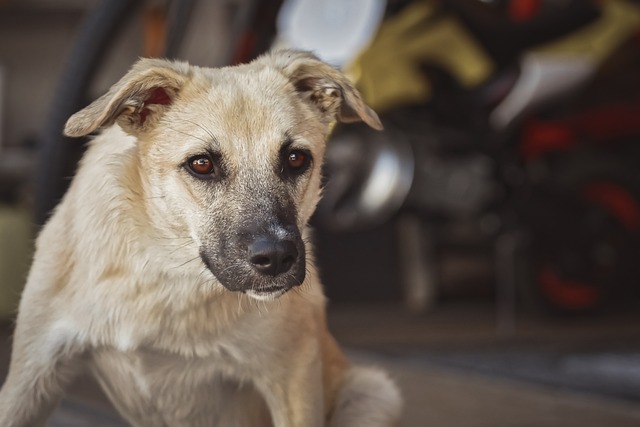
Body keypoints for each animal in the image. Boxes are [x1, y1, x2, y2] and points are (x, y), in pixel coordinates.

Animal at [0, 51, 402, 427]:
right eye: (202, 164)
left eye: (296, 158)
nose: (276, 258)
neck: (164, 273)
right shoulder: (30, 374)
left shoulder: (293, 376)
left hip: (374, 393)